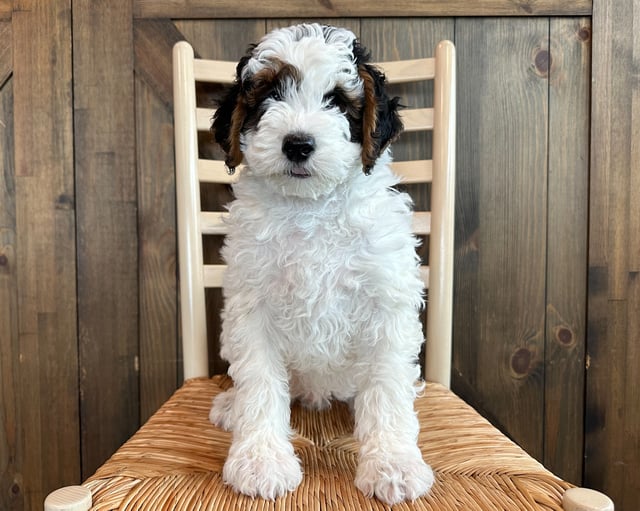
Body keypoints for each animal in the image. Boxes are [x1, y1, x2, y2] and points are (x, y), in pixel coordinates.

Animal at [210, 23, 436, 504]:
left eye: (336, 99)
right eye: (270, 95)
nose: (297, 144)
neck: (310, 208)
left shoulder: (386, 304)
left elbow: (387, 389)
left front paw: (393, 464)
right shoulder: (252, 307)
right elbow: (259, 383)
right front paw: (260, 461)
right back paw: (231, 406)